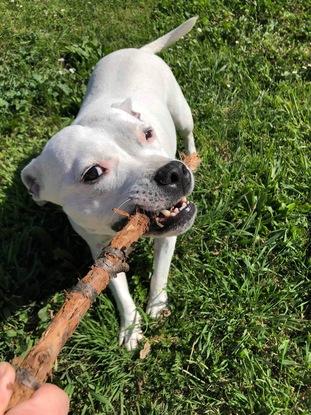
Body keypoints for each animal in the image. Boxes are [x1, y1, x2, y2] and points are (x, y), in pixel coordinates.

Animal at [21, 18, 197, 352]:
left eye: (148, 133)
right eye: (92, 173)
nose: (174, 172)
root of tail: (139, 50)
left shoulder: (167, 236)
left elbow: (159, 272)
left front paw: (156, 305)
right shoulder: (102, 252)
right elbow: (119, 291)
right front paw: (130, 326)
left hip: (182, 112)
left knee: (188, 131)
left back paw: (192, 154)